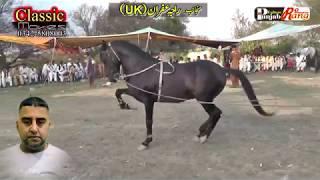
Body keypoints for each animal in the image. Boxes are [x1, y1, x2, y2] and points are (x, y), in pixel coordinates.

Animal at [101, 40, 274, 150]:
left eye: (106, 57)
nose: (112, 77)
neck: (142, 68)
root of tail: (221, 69)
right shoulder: (136, 93)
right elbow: (118, 92)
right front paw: (124, 105)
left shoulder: (148, 101)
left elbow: (148, 121)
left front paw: (146, 142)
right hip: (205, 100)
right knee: (215, 114)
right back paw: (201, 132)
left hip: (204, 99)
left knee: (216, 113)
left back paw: (203, 135)